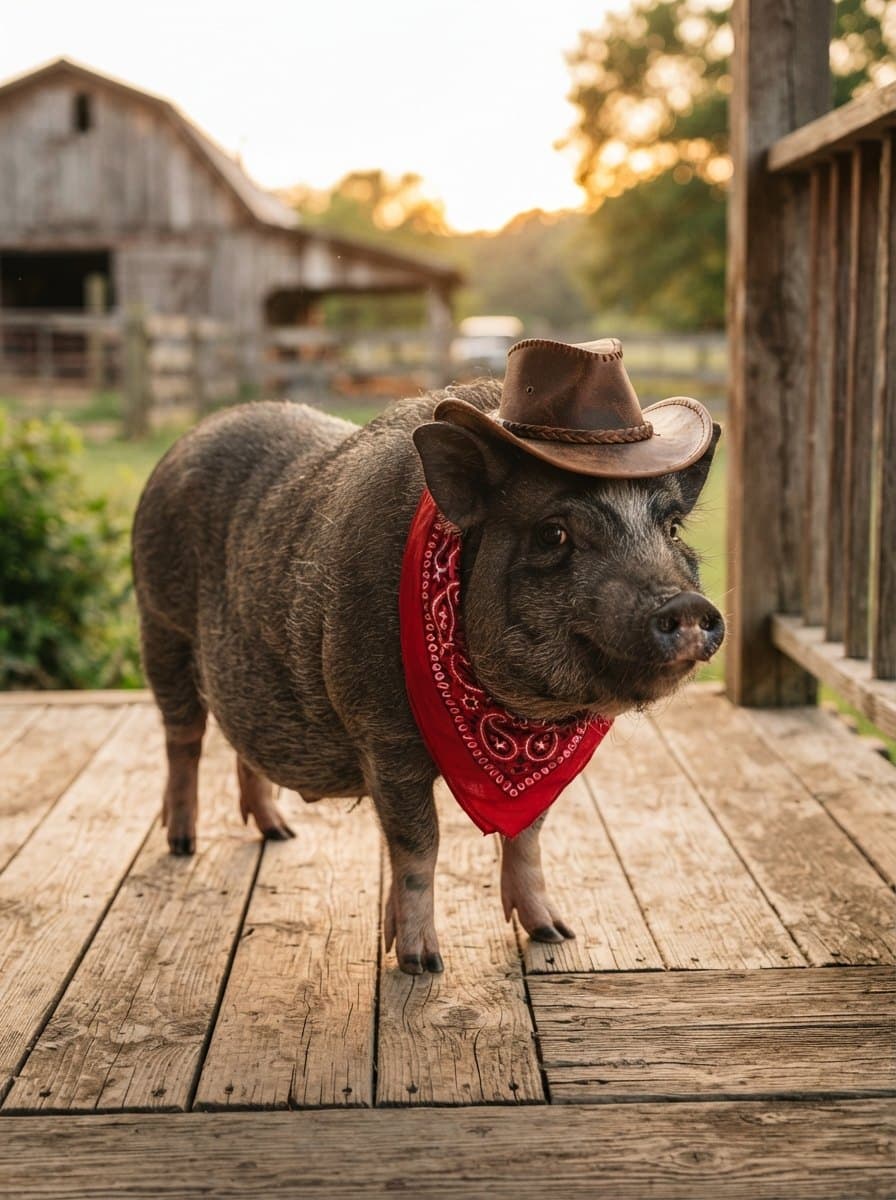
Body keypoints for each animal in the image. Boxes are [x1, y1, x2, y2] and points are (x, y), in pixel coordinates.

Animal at [132, 381, 723, 975]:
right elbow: (420, 842)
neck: (519, 717)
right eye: (553, 533)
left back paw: (280, 834)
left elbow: (528, 835)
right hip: (159, 625)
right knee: (182, 738)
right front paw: (422, 964)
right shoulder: (383, 734)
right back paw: (182, 844)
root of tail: (183, 443)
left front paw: (555, 935)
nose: (687, 604)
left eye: (672, 528)